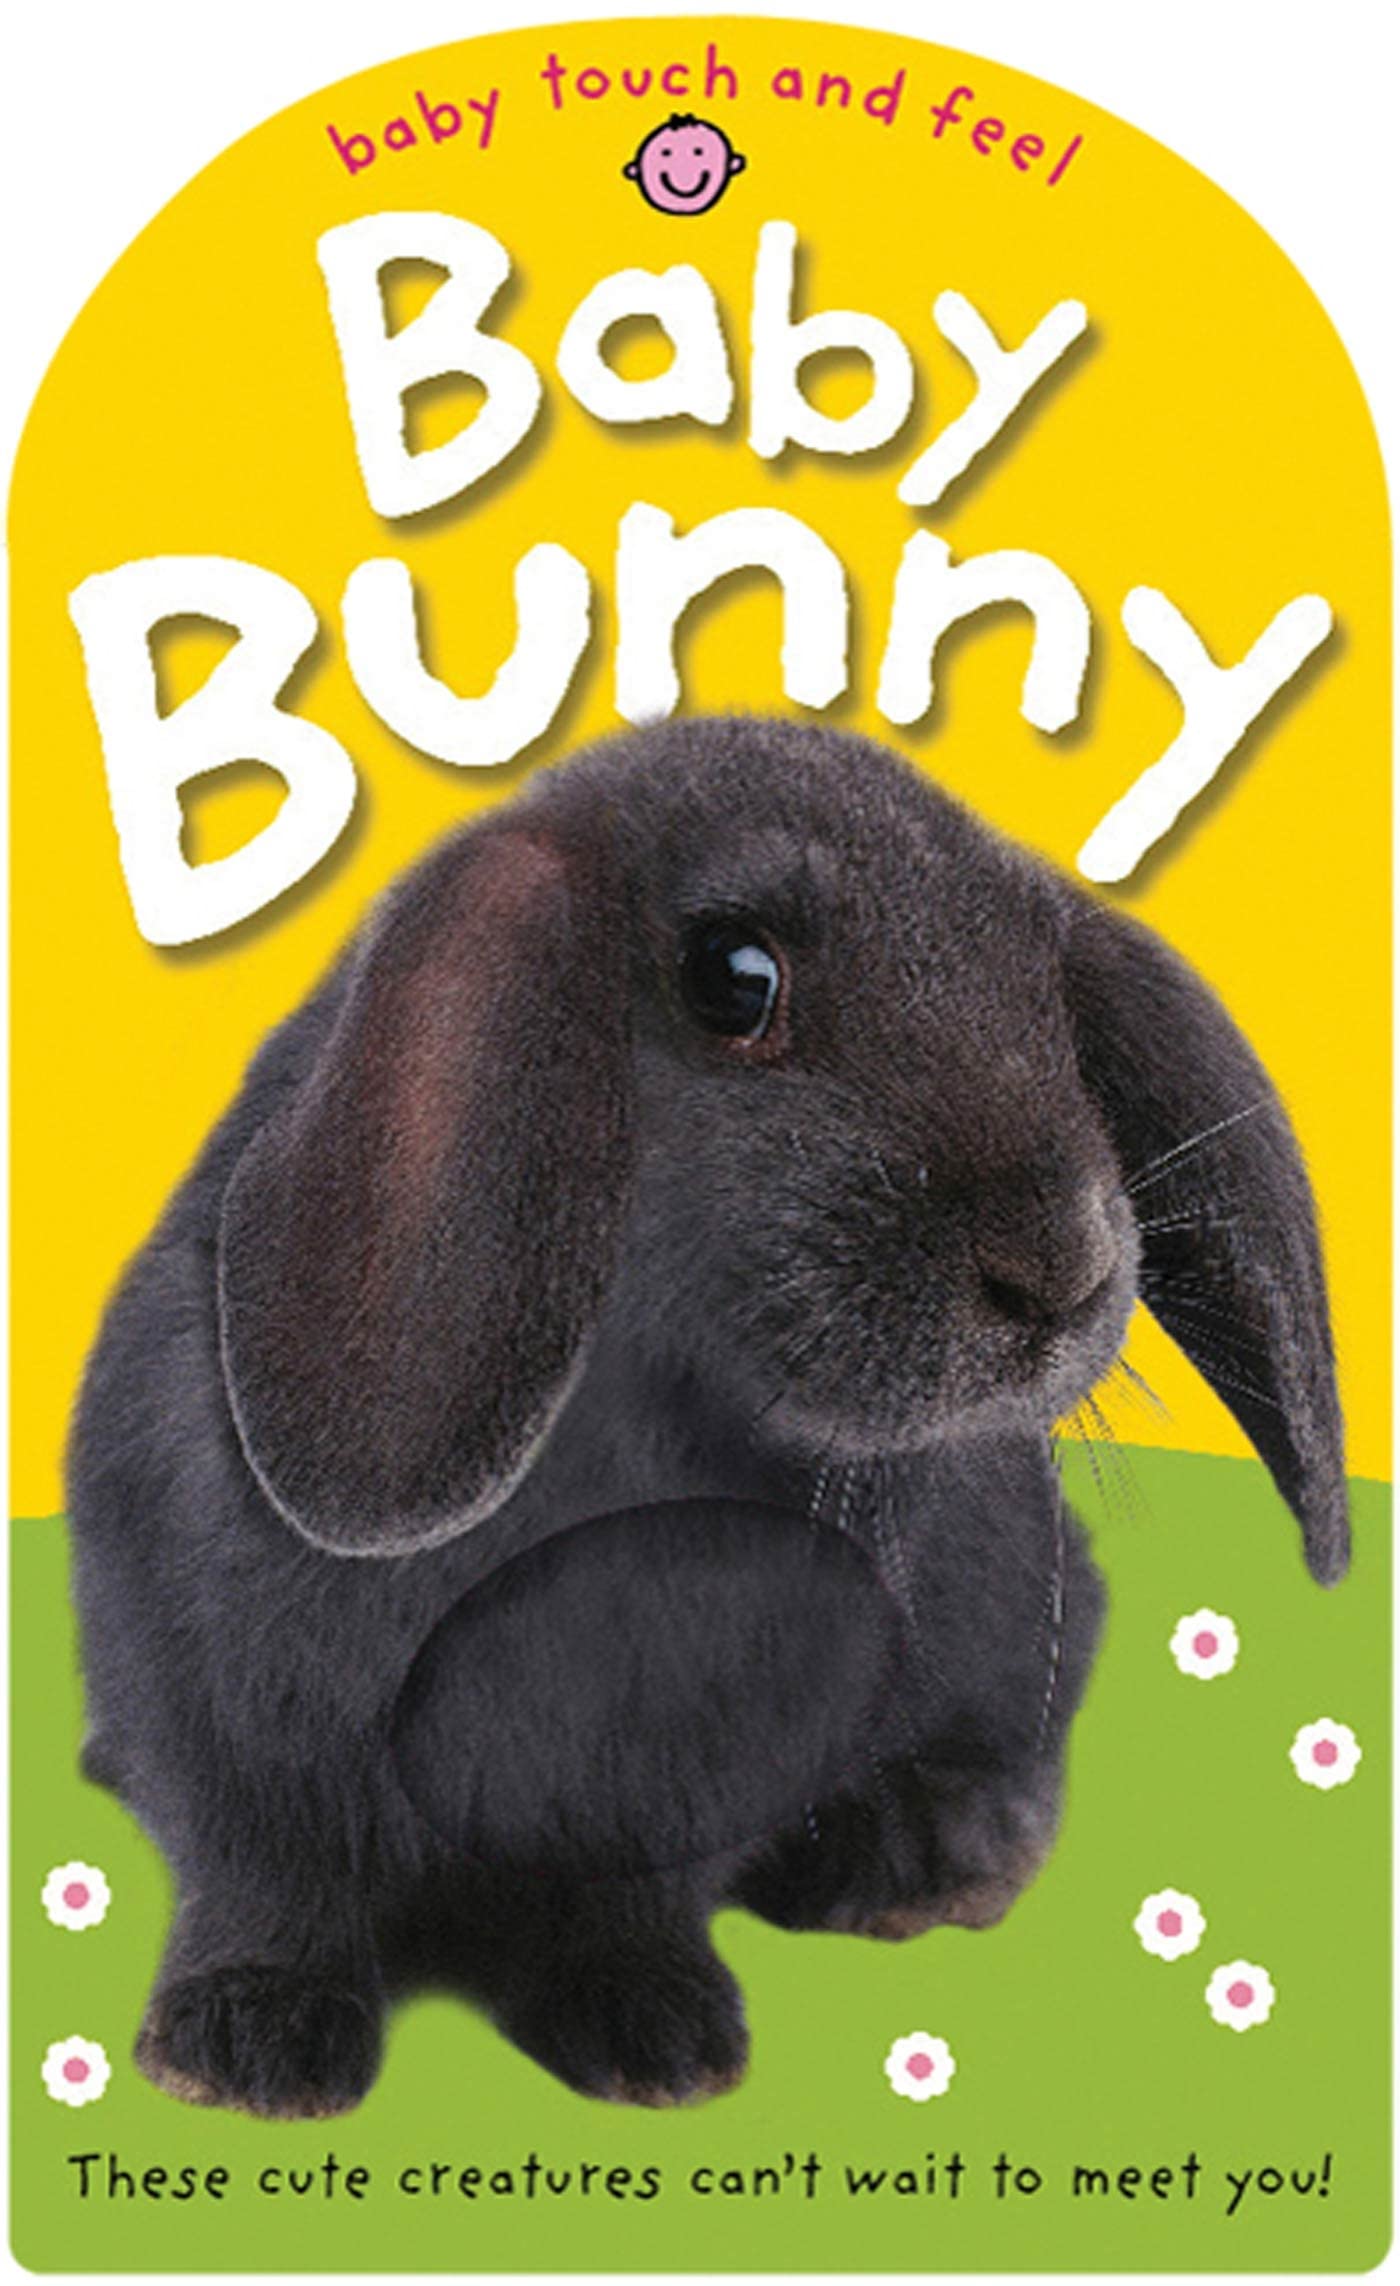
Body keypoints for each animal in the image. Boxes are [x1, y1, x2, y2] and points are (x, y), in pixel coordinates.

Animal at [67, 713, 1348, 2119]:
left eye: (1049, 1006)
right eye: (734, 981)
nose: (1059, 1270)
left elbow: (626, 1895)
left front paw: (653, 2036)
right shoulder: (217, 1690)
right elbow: (267, 1877)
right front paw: (246, 2047)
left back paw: (926, 1854)